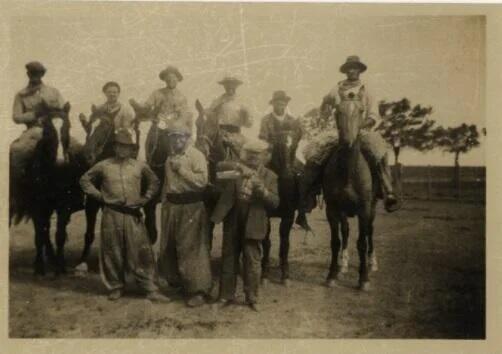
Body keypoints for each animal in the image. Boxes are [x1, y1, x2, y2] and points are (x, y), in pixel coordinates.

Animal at [9, 103, 86, 276]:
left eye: (68, 126)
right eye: (48, 130)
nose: (61, 161)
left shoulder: (64, 206)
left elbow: (60, 235)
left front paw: (60, 267)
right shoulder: (37, 205)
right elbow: (39, 235)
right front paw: (39, 267)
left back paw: (53, 259)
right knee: (43, 231)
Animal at [324, 99, 378, 290]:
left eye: (361, 111)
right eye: (337, 112)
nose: (347, 141)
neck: (348, 173)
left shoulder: (364, 209)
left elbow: (362, 242)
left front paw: (364, 279)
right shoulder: (333, 209)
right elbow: (336, 241)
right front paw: (331, 276)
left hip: (372, 209)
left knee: (370, 232)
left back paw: (372, 263)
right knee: (346, 231)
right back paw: (343, 266)